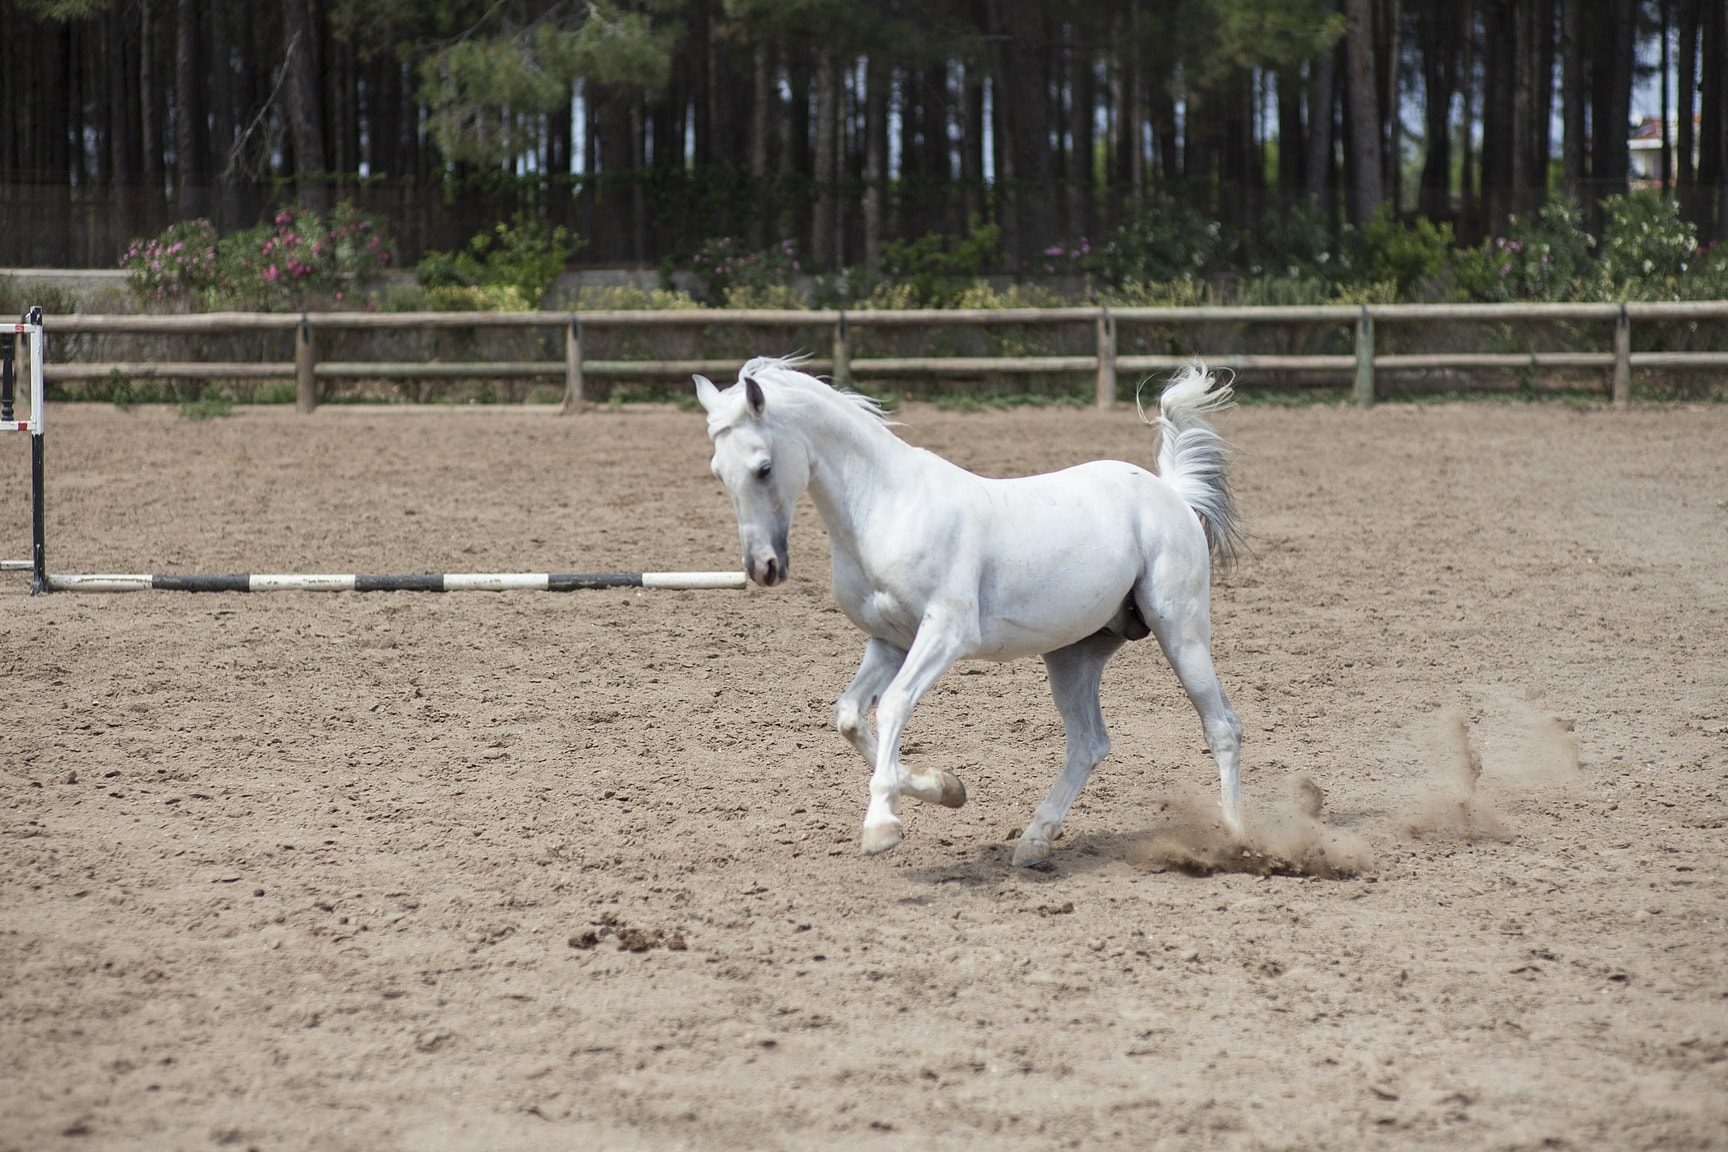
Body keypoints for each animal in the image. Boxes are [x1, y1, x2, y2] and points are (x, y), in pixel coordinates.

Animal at [694, 357, 1245, 867]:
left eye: (763, 467)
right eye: (718, 472)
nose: (763, 567)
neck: (886, 507)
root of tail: (1171, 494)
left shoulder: (946, 634)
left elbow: (893, 704)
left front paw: (882, 825)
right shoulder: (890, 641)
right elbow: (850, 716)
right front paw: (944, 788)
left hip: (1180, 631)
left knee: (1221, 726)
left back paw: (1236, 840)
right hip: (1074, 655)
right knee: (1090, 743)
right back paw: (1034, 840)